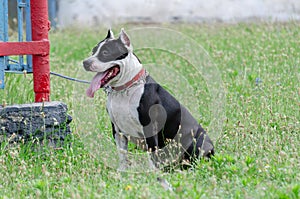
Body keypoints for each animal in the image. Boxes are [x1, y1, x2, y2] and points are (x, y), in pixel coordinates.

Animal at [82, 28, 213, 171]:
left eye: (105, 52)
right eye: (93, 51)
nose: (85, 62)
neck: (125, 88)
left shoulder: (149, 127)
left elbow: (151, 152)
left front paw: (152, 173)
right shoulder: (117, 129)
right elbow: (122, 153)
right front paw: (121, 171)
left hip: (196, 142)